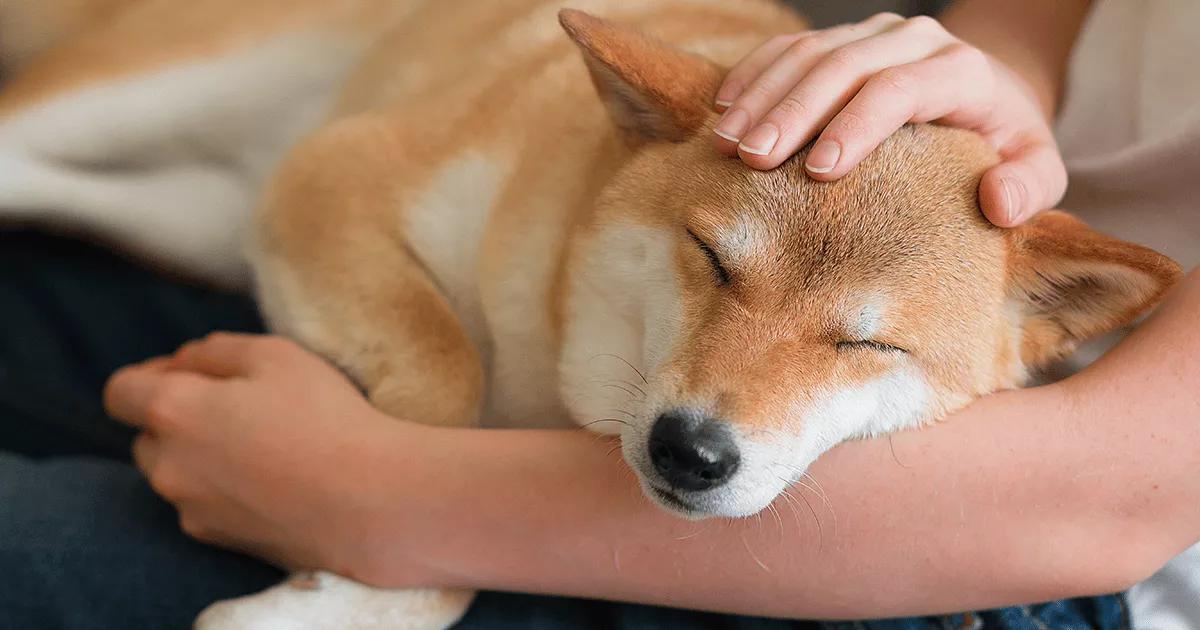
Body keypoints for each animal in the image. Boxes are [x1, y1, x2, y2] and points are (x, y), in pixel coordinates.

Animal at [0, 1, 1180, 628]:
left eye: (867, 343)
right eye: (713, 261)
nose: (692, 451)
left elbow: (417, 502)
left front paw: (341, 597)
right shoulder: (334, 175)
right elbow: (438, 391)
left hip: (190, 211)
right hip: (153, 90)